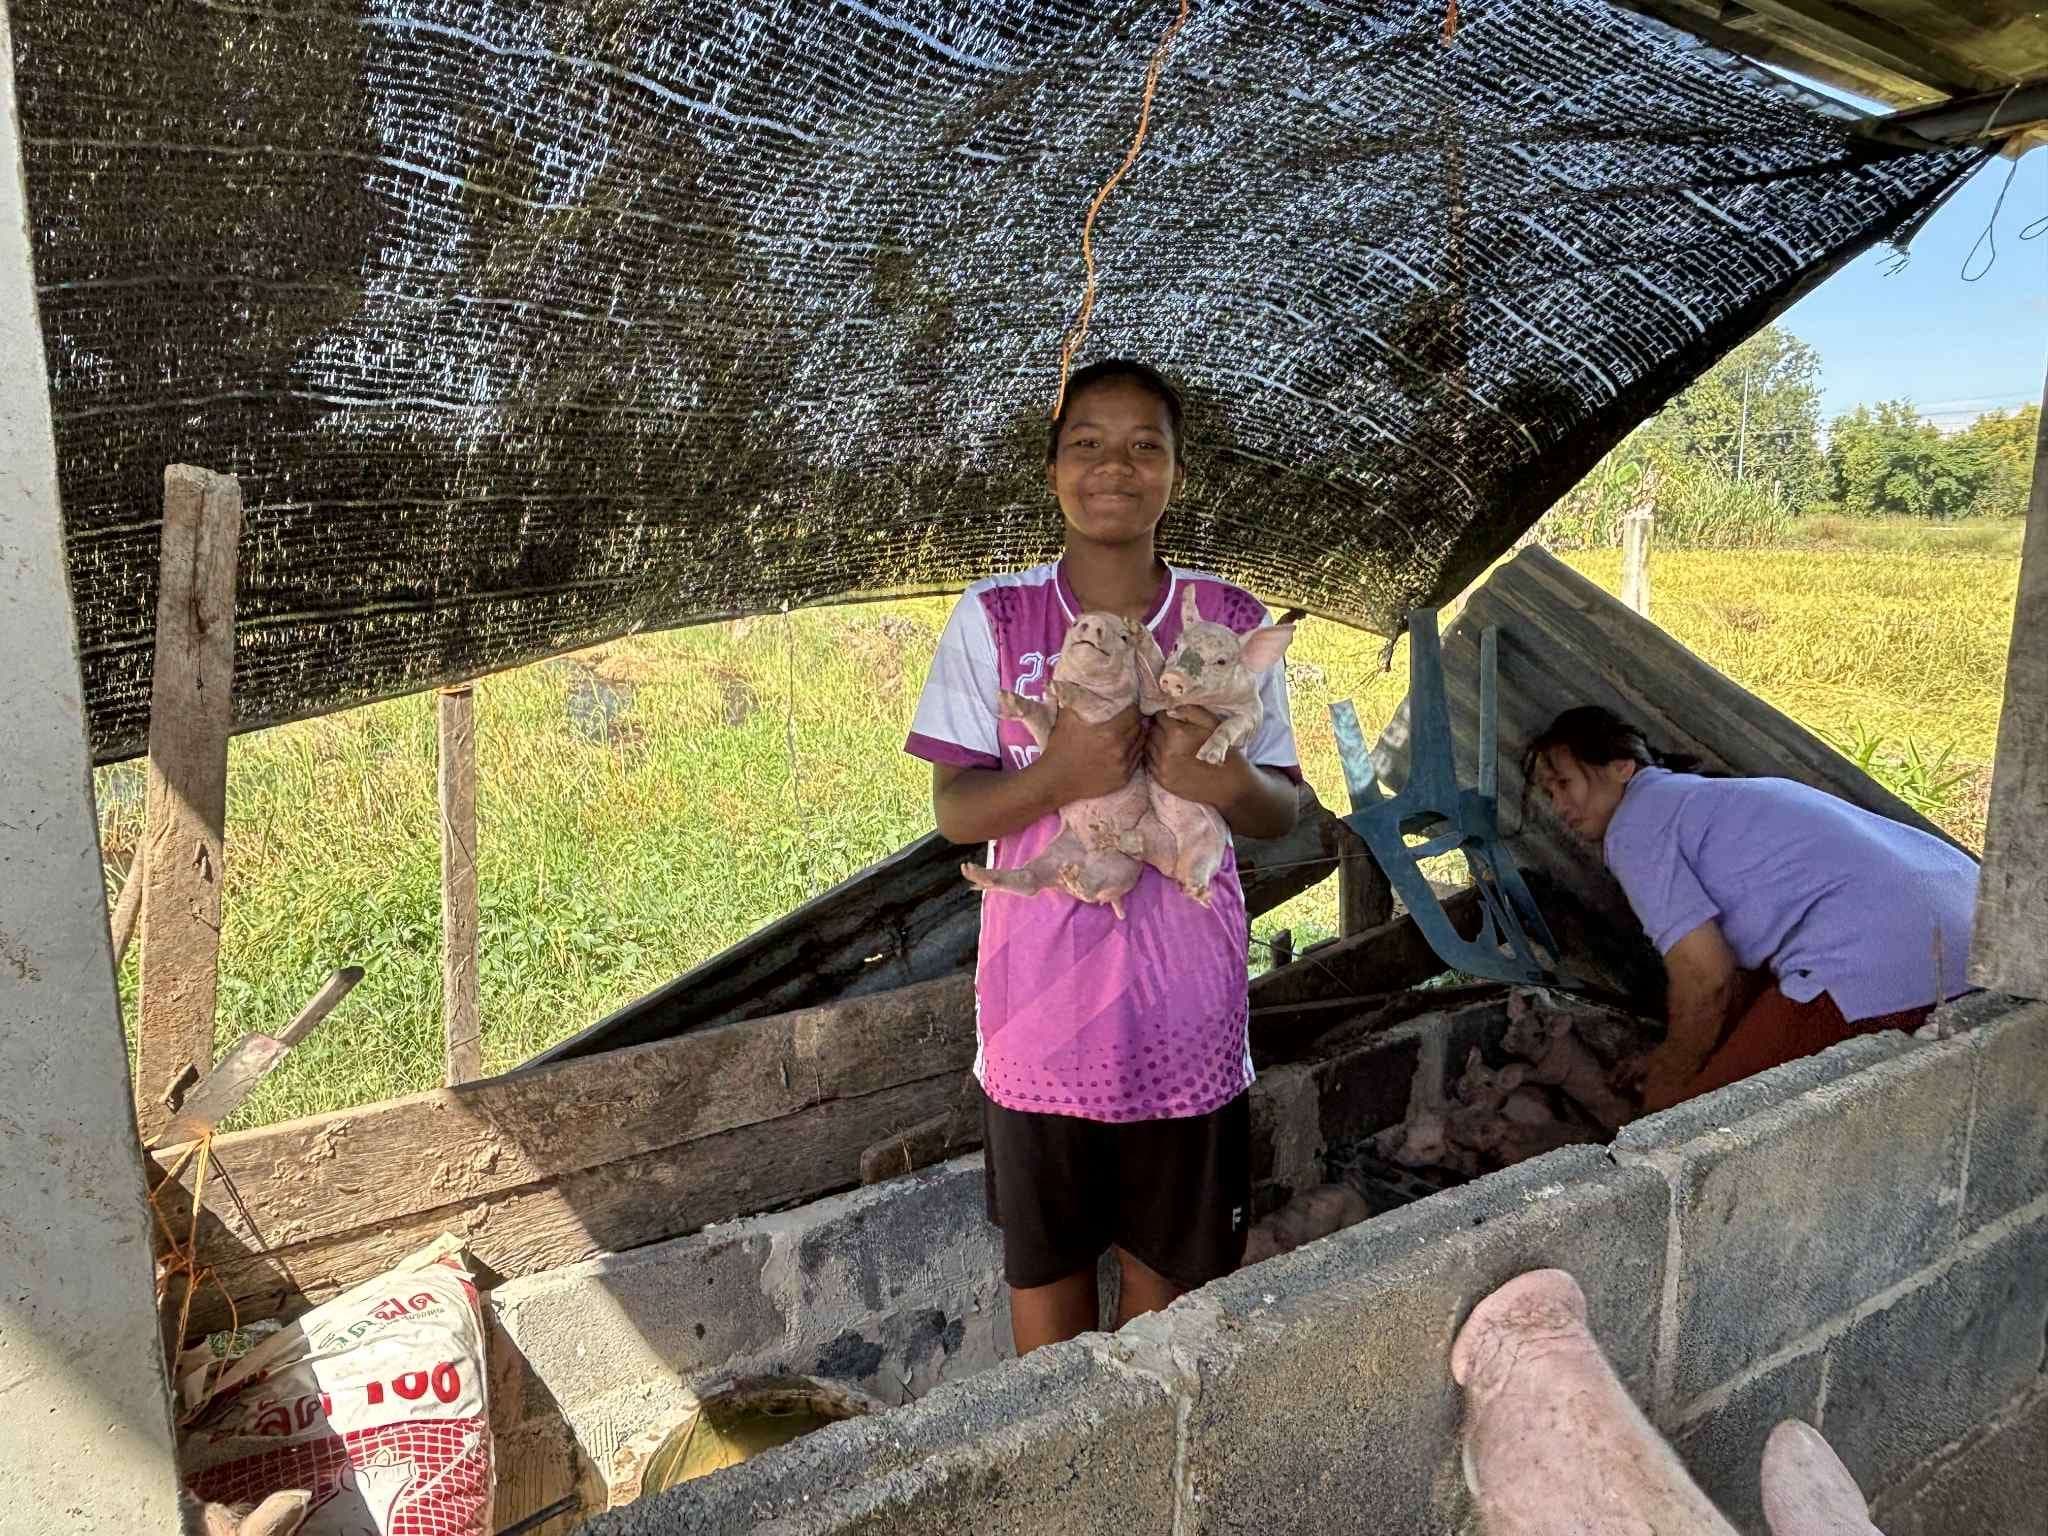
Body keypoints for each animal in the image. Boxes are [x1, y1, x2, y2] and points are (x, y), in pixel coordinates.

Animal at [961, 611, 1152, 918]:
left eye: (1124, 636)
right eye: (1075, 624)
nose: (1093, 624)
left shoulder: (1115, 710)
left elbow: (1093, 701)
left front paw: (1059, 688)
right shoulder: (1052, 729)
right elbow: (1040, 721)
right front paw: (1010, 698)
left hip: (1122, 862)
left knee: (1098, 888)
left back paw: (1078, 881)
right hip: (1059, 848)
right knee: (1032, 880)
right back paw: (975, 874)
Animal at [1126, 588, 1296, 904]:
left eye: (1221, 662)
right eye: (1176, 645)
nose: (1175, 677)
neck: (1206, 703)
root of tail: (1177, 863)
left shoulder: (1252, 713)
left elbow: (1232, 726)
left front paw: (1208, 756)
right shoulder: (1154, 702)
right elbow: (1151, 690)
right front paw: (1135, 630)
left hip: (1209, 851)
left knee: (1192, 872)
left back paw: (1199, 893)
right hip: (1150, 827)